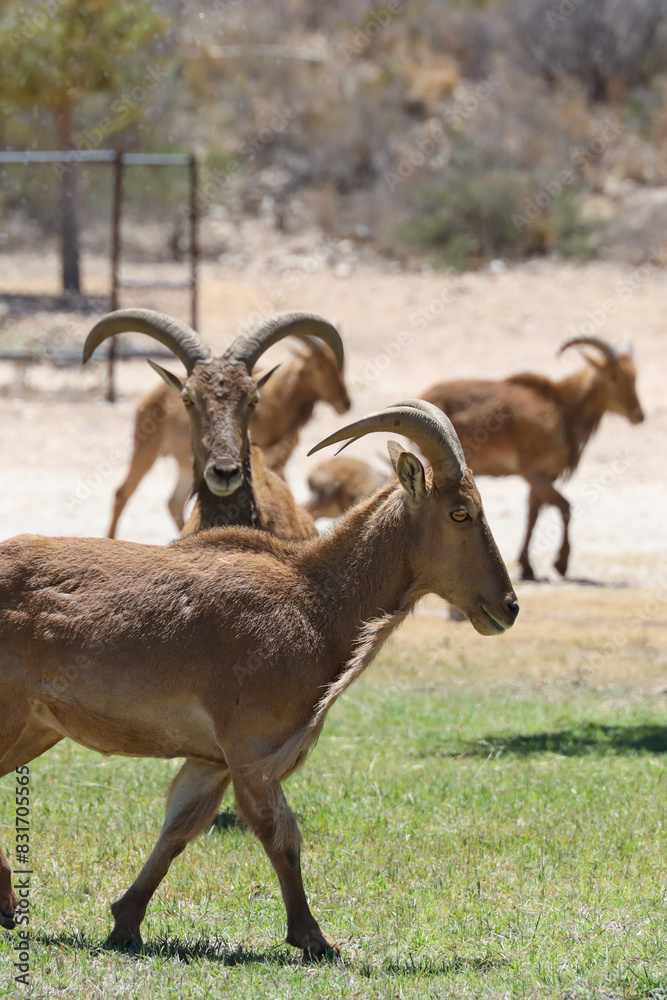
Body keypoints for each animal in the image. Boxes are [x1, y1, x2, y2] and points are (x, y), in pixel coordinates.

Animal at [0, 400, 518, 957]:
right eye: (461, 512)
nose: (508, 606)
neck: (314, 603)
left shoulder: (211, 760)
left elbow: (178, 831)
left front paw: (126, 923)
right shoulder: (252, 751)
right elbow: (280, 837)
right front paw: (314, 938)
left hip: (38, 728)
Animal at [420, 336, 644, 580]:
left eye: (634, 375)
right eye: (614, 375)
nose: (638, 415)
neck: (562, 410)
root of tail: (424, 396)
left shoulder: (544, 476)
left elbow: (533, 514)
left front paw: (527, 566)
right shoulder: (534, 473)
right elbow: (564, 506)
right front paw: (560, 564)